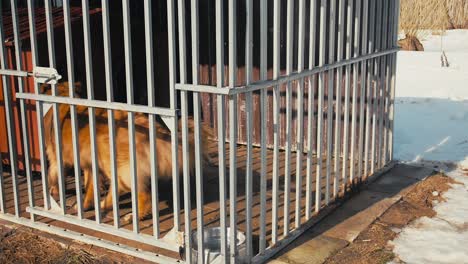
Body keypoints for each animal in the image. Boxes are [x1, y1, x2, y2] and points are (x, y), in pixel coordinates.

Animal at [43, 82, 211, 221]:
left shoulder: (57, 159)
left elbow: (55, 175)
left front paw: (55, 191)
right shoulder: (90, 165)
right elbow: (90, 186)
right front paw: (85, 204)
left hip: (114, 163)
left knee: (140, 193)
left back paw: (133, 216)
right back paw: (104, 205)